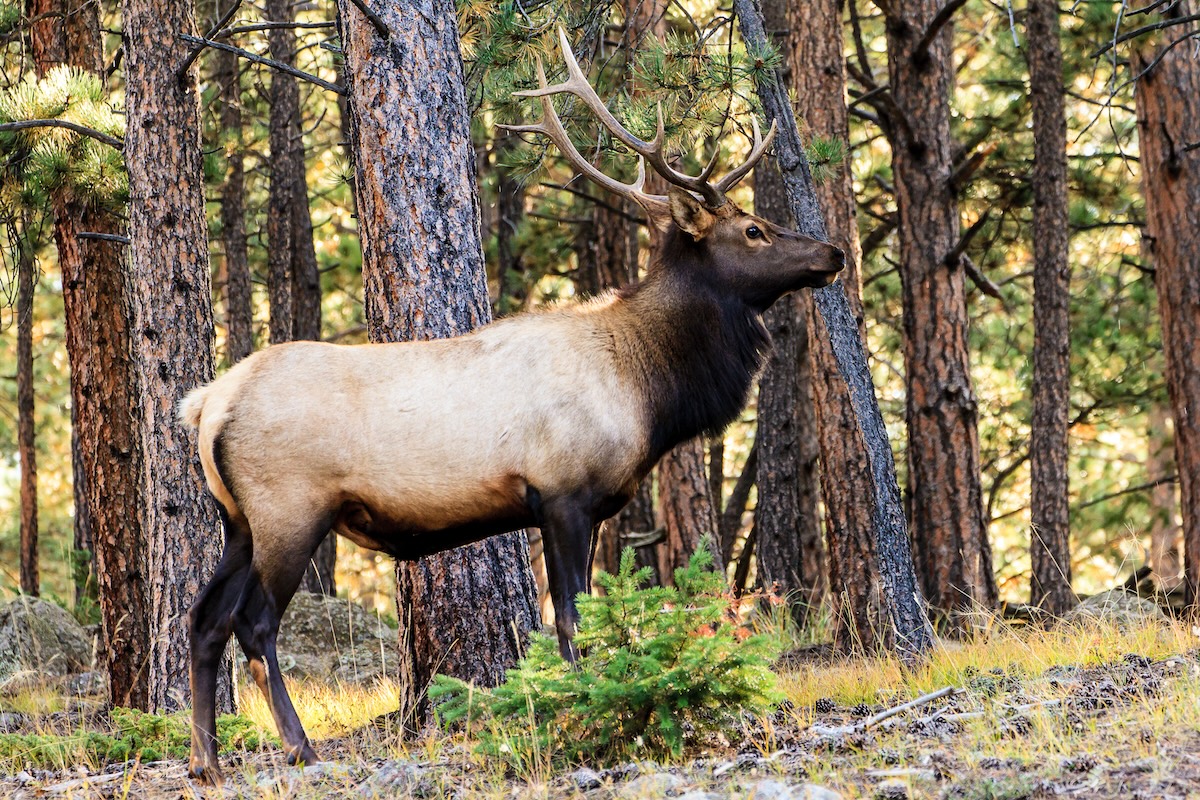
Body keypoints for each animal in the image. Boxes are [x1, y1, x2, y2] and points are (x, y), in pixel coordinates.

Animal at [184, 29, 844, 782]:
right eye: (755, 230)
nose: (833, 251)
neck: (645, 387)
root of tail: (206, 405)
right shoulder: (562, 493)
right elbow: (572, 618)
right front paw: (590, 712)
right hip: (289, 509)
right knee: (253, 623)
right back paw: (299, 747)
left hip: (238, 520)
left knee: (202, 620)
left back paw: (204, 761)